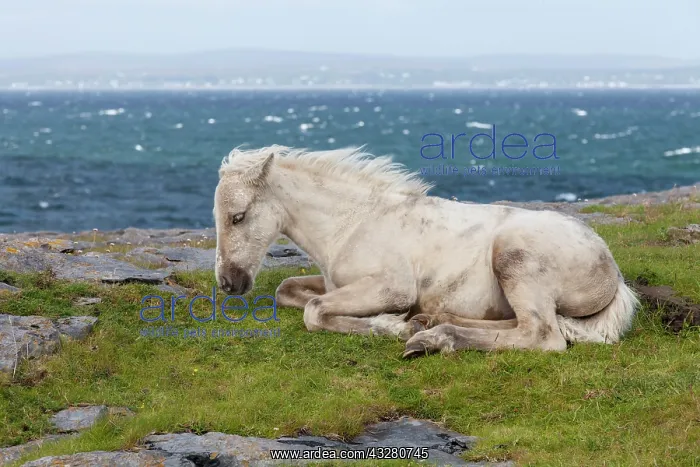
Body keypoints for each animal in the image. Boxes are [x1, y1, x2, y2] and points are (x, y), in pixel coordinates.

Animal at [213, 145, 639, 358]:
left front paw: (393, 325)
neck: (352, 222)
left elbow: (314, 311)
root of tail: (613, 273)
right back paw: (432, 322)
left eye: (238, 216)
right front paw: (403, 322)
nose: (228, 283)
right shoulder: (334, 282)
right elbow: (287, 289)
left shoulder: (392, 287)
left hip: (514, 258)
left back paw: (431, 339)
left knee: (543, 335)